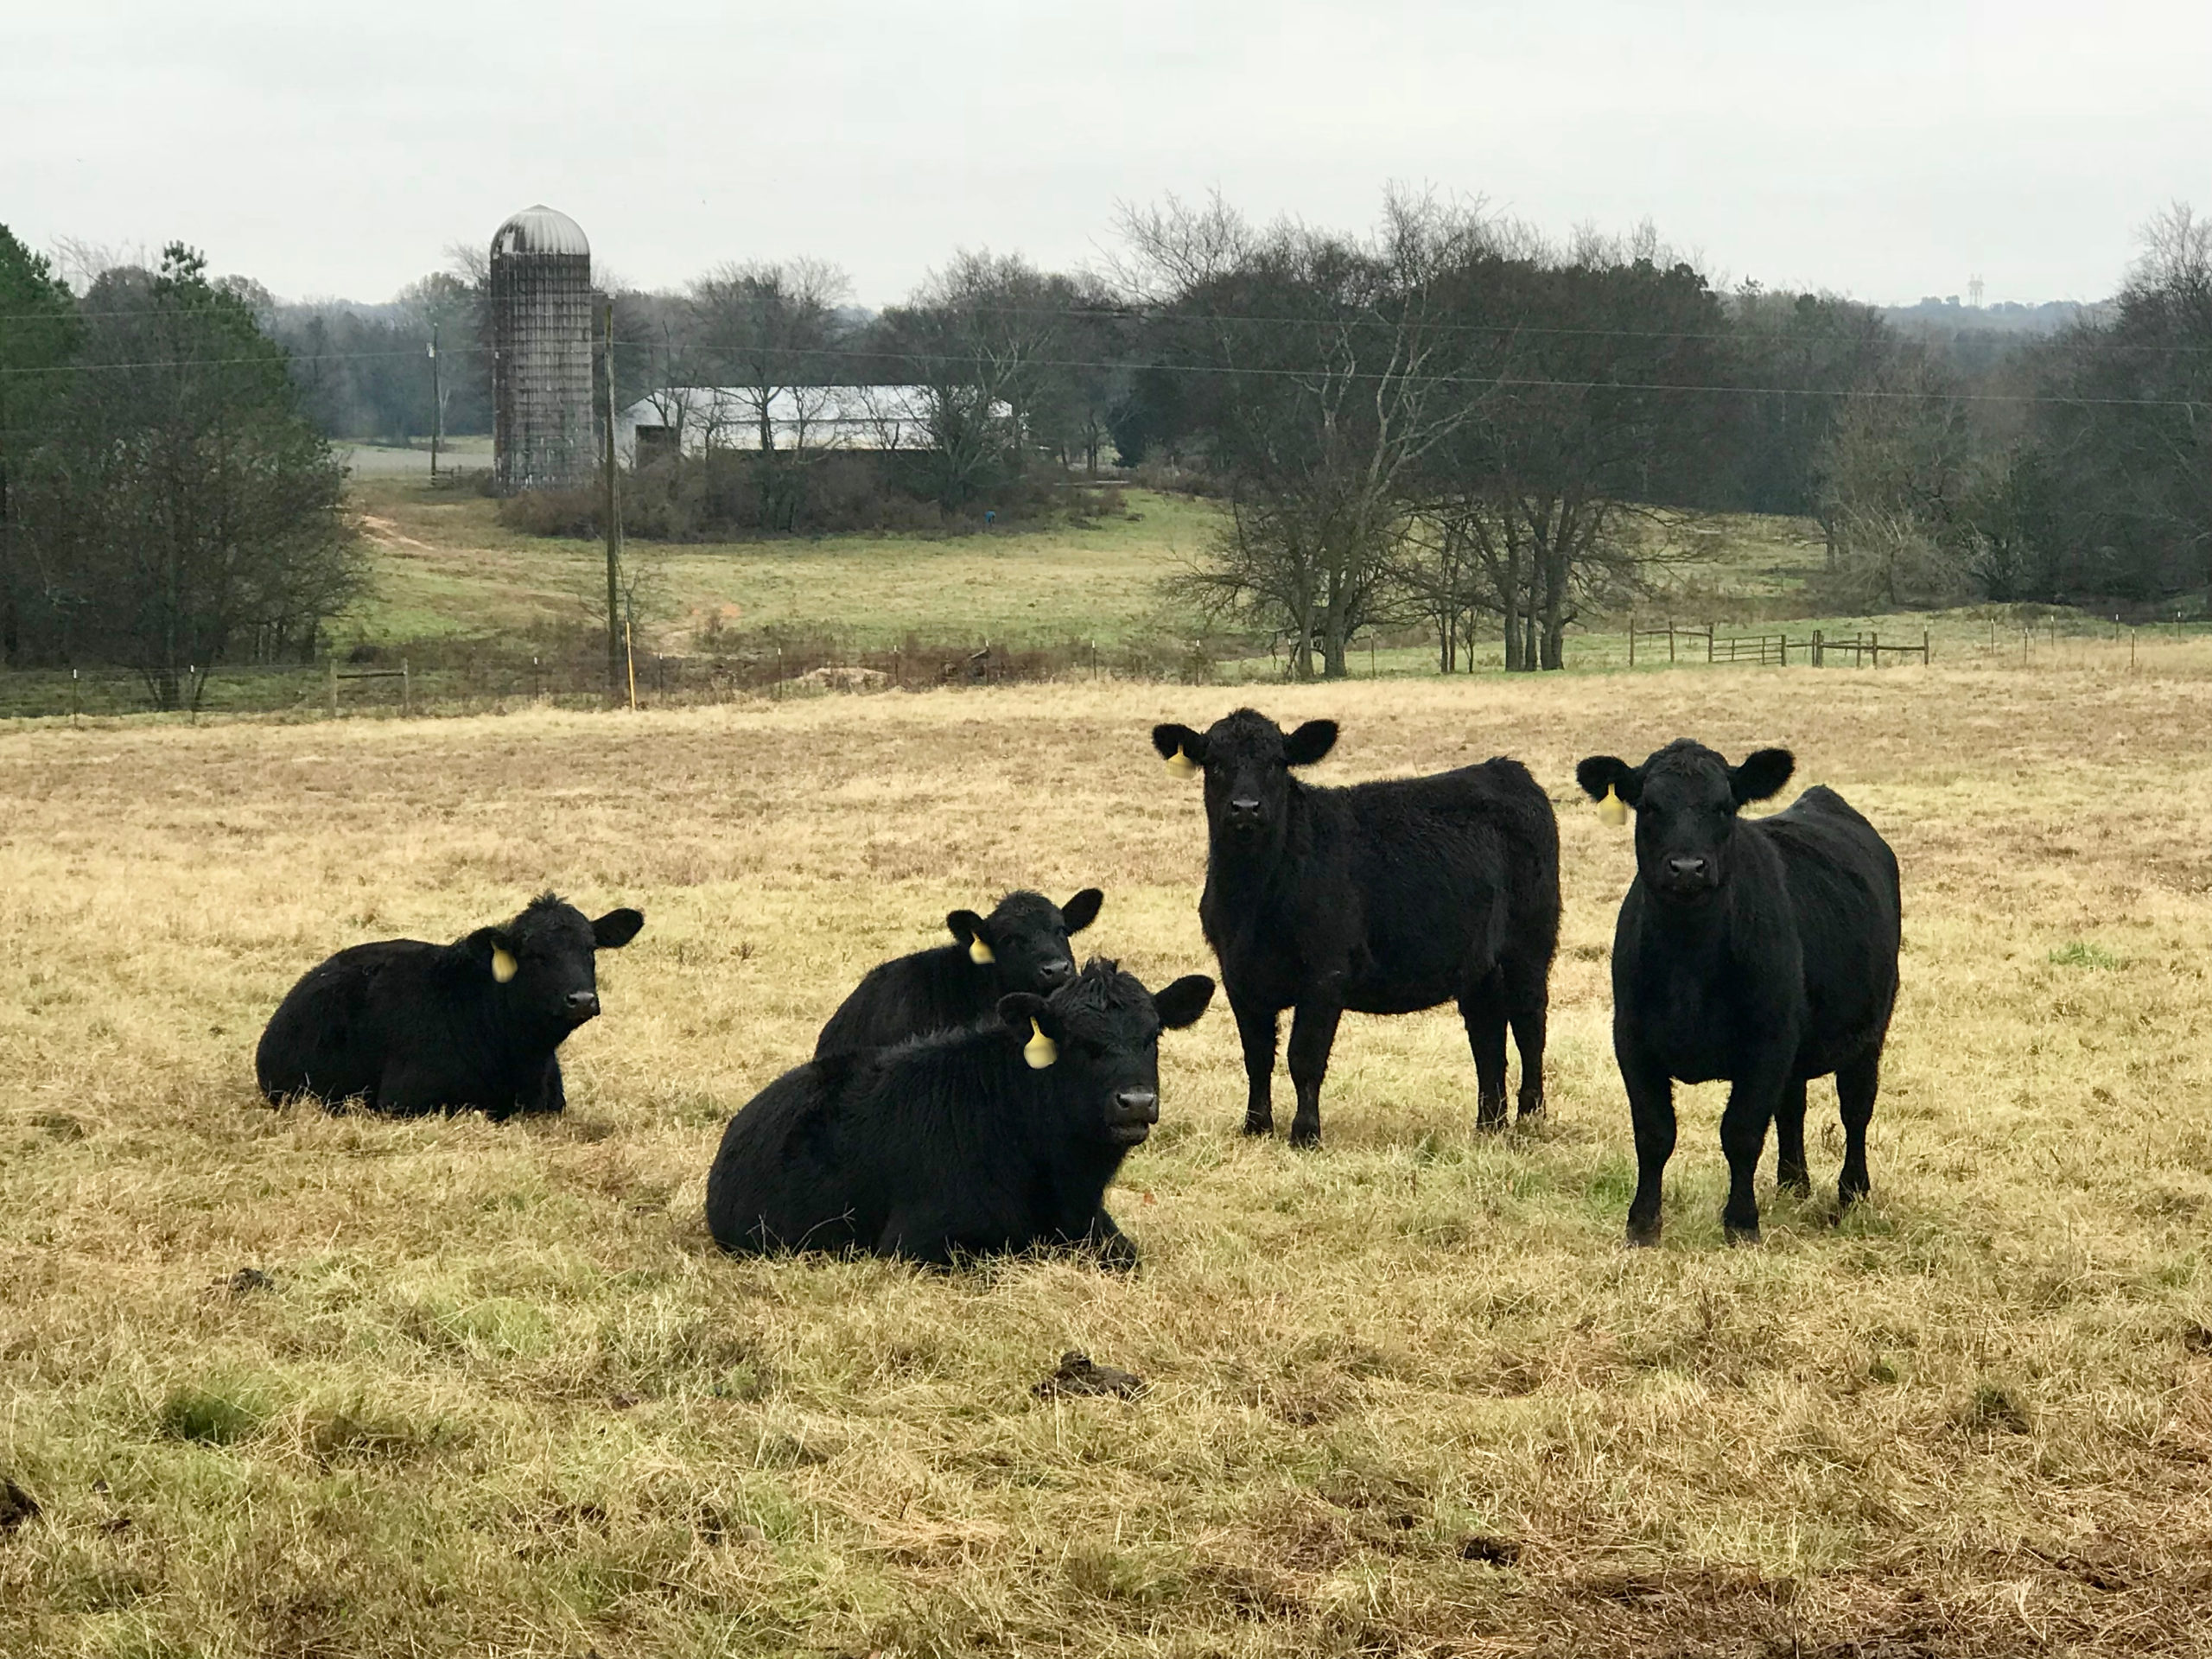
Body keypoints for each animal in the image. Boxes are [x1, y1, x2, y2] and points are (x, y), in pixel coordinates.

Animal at [1150, 708, 1566, 1150]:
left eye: (1277, 763)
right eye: (1214, 763)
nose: (1246, 808)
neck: (1252, 898)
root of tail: (1505, 769)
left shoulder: (1325, 972)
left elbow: (1304, 1057)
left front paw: (1305, 1134)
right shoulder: (1237, 975)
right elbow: (1257, 1057)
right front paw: (1256, 1127)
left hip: (1529, 947)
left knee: (1529, 1025)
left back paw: (1530, 1115)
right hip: (1478, 965)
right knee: (1487, 1036)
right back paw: (1489, 1123)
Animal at [1574, 743, 1902, 1247]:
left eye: (1725, 806)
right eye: (1648, 806)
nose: (1687, 868)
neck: (1688, 962)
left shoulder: (1766, 1041)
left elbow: (1742, 1132)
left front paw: (1741, 1223)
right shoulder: (1631, 1038)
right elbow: (1654, 1132)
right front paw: (1642, 1224)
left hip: (1869, 1029)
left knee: (1856, 1108)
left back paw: (1851, 1194)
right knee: (1792, 1105)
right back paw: (1792, 1183)